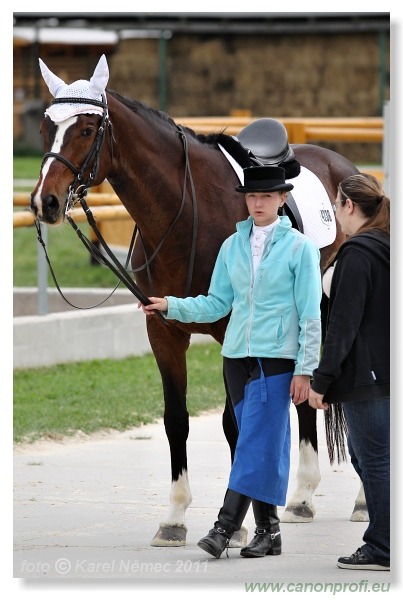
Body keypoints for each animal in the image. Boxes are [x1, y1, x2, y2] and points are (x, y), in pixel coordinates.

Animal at [30, 54, 366, 548]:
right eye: (45, 127)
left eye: (89, 129)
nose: (45, 202)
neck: (185, 212)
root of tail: (346, 166)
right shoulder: (163, 330)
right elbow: (176, 420)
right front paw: (175, 517)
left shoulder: (232, 333)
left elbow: (235, 422)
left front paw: (239, 521)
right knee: (304, 394)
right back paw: (302, 496)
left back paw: (361, 500)